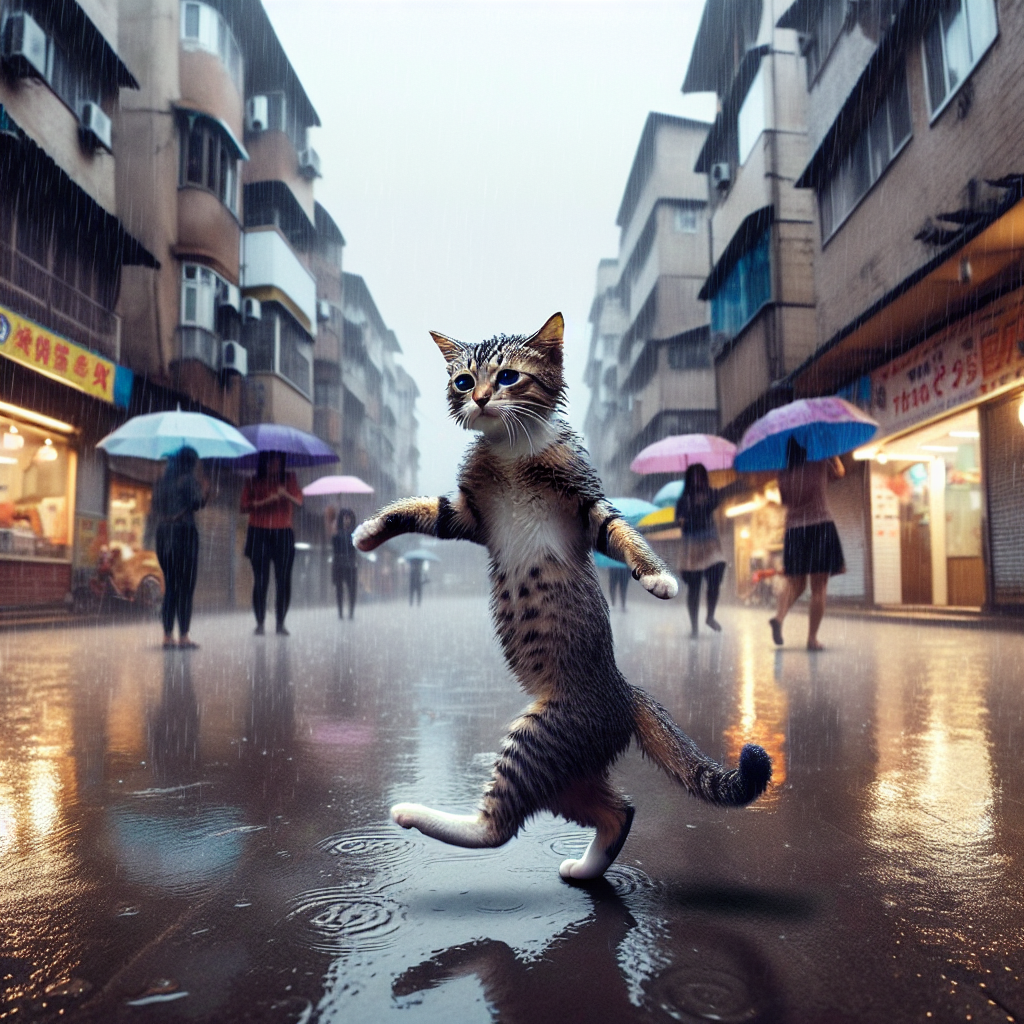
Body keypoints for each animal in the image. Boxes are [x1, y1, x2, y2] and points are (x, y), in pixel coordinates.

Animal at [356, 311, 770, 880]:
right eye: (463, 381)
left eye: (507, 377)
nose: (479, 398)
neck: (510, 451)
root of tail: (624, 693)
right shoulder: (466, 513)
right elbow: (418, 508)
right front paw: (368, 532)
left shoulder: (586, 505)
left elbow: (623, 533)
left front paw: (659, 578)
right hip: (566, 766)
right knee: (617, 810)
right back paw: (584, 866)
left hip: (540, 737)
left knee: (499, 827)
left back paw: (413, 813)